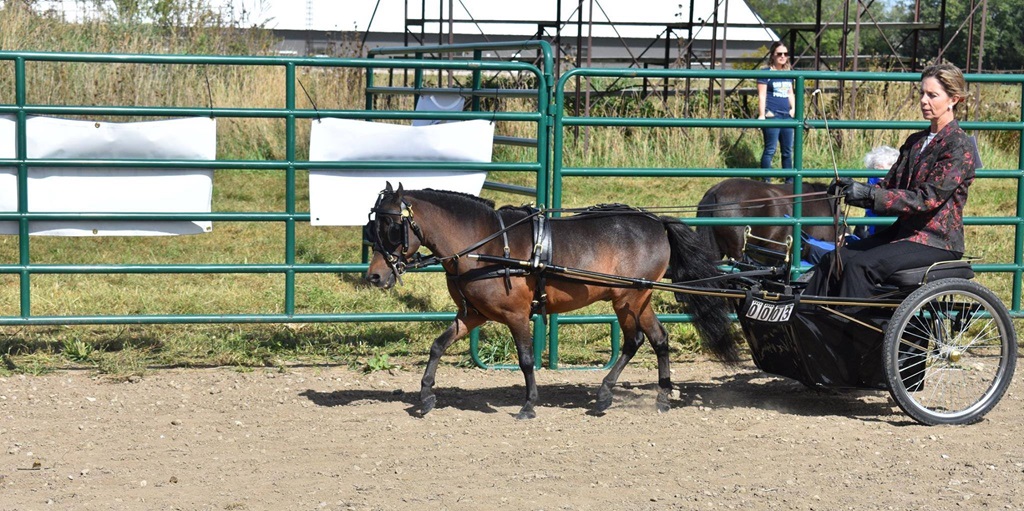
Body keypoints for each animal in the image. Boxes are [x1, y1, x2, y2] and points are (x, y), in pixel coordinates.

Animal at [364, 183, 739, 419]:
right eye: (373, 227)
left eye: (391, 228)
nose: (375, 276)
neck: (485, 245)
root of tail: (657, 221)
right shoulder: (473, 315)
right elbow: (438, 345)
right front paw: (426, 395)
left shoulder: (516, 315)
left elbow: (527, 359)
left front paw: (529, 405)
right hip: (640, 297)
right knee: (658, 339)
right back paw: (659, 397)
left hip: (627, 298)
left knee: (634, 340)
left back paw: (606, 395)